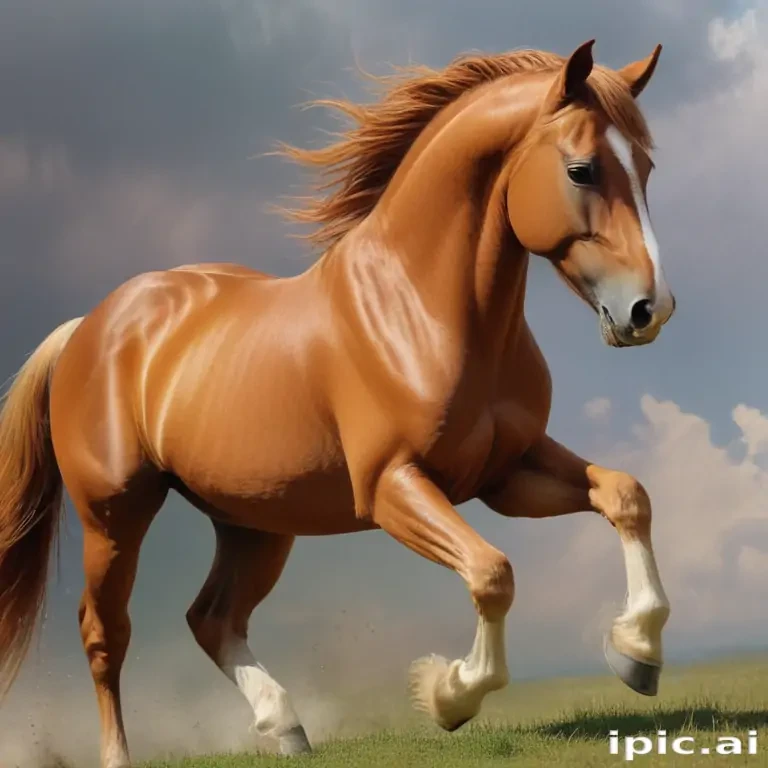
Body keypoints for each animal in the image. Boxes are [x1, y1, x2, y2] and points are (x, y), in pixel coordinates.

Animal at [0, 40, 675, 766]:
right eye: (581, 170)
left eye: (646, 167)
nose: (649, 310)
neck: (421, 308)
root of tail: (90, 326)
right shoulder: (392, 487)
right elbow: (492, 573)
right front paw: (447, 694)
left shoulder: (507, 473)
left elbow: (626, 496)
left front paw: (636, 653)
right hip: (115, 516)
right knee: (106, 632)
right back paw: (124, 753)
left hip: (255, 523)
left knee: (212, 619)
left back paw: (286, 726)